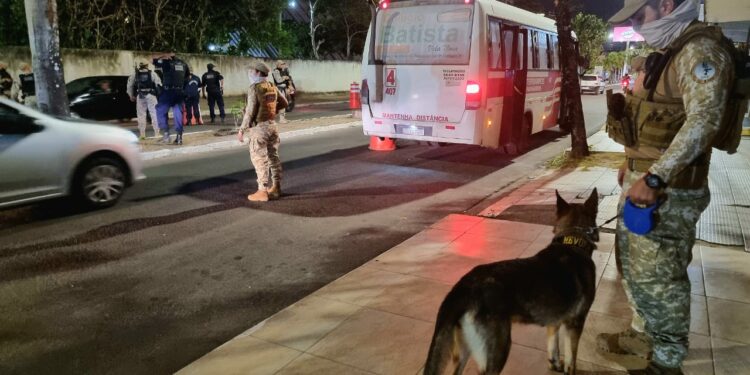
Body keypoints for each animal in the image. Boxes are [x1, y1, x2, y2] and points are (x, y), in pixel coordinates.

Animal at [426, 191, 604, 375]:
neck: (573, 240)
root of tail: (463, 287)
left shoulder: (554, 322)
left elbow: (553, 348)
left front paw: (554, 365)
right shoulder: (575, 324)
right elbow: (571, 360)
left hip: (465, 351)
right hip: (499, 349)